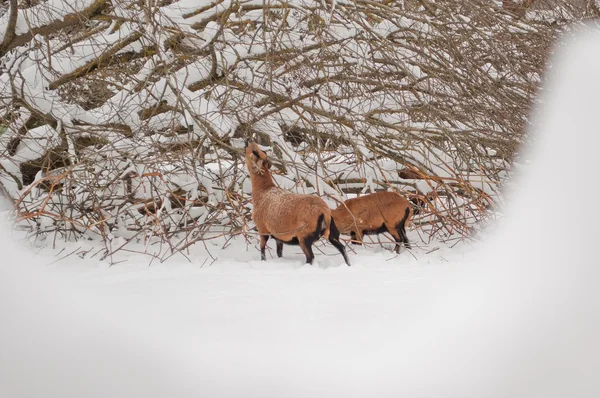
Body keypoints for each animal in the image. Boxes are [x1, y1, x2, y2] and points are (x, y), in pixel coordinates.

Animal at [244, 138, 350, 266]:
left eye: (255, 152)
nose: (248, 140)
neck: (263, 190)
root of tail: (325, 212)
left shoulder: (262, 229)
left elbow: (262, 249)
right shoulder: (279, 236)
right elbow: (279, 252)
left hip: (304, 236)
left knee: (310, 257)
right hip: (333, 233)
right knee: (343, 248)